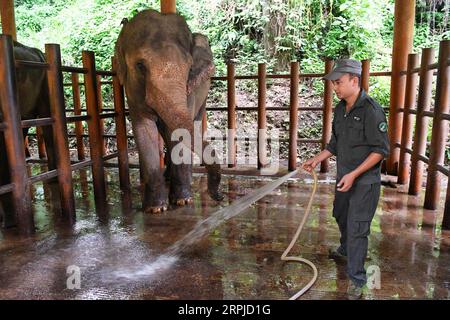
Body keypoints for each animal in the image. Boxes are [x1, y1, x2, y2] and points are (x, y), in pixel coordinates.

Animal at [114, 8, 223, 214]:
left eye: (189, 67)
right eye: (140, 66)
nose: (219, 197)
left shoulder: (189, 89)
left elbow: (178, 133)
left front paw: (182, 201)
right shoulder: (132, 93)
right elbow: (144, 128)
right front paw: (156, 209)